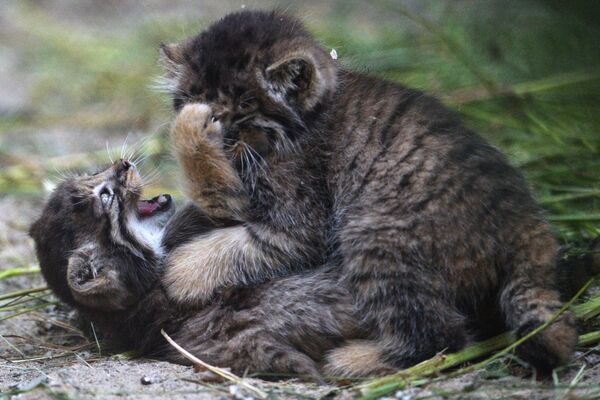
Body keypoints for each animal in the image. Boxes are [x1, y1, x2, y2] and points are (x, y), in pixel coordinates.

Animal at [158, 10, 576, 374]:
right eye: (195, 93)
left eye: (244, 103)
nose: (218, 122)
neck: (309, 118)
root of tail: (525, 223)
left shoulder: (298, 223)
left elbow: (234, 239)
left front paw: (181, 273)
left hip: (374, 233)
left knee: (443, 336)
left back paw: (353, 360)